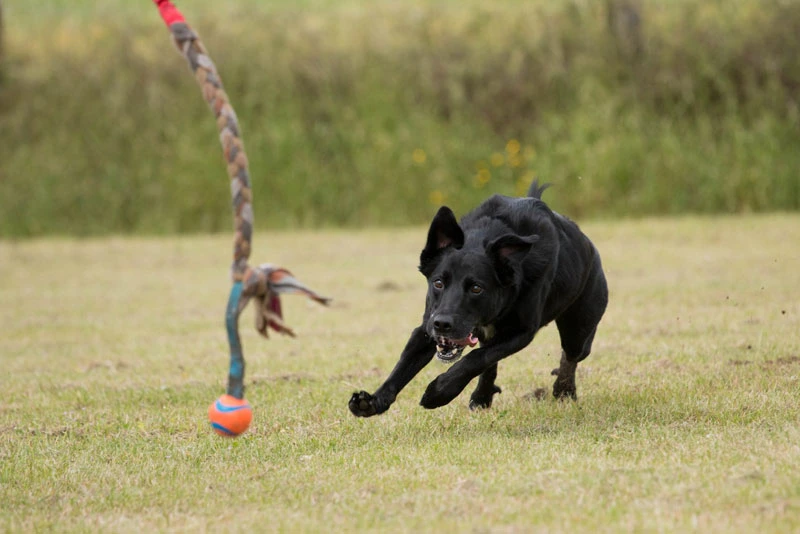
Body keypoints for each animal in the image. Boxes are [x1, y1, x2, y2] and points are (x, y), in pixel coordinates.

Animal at [348, 184, 608, 418]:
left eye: (476, 288)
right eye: (438, 283)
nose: (442, 324)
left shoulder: (521, 332)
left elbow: (476, 358)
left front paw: (438, 392)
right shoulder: (426, 326)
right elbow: (403, 366)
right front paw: (373, 401)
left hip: (579, 327)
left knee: (570, 356)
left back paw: (564, 390)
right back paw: (482, 396)